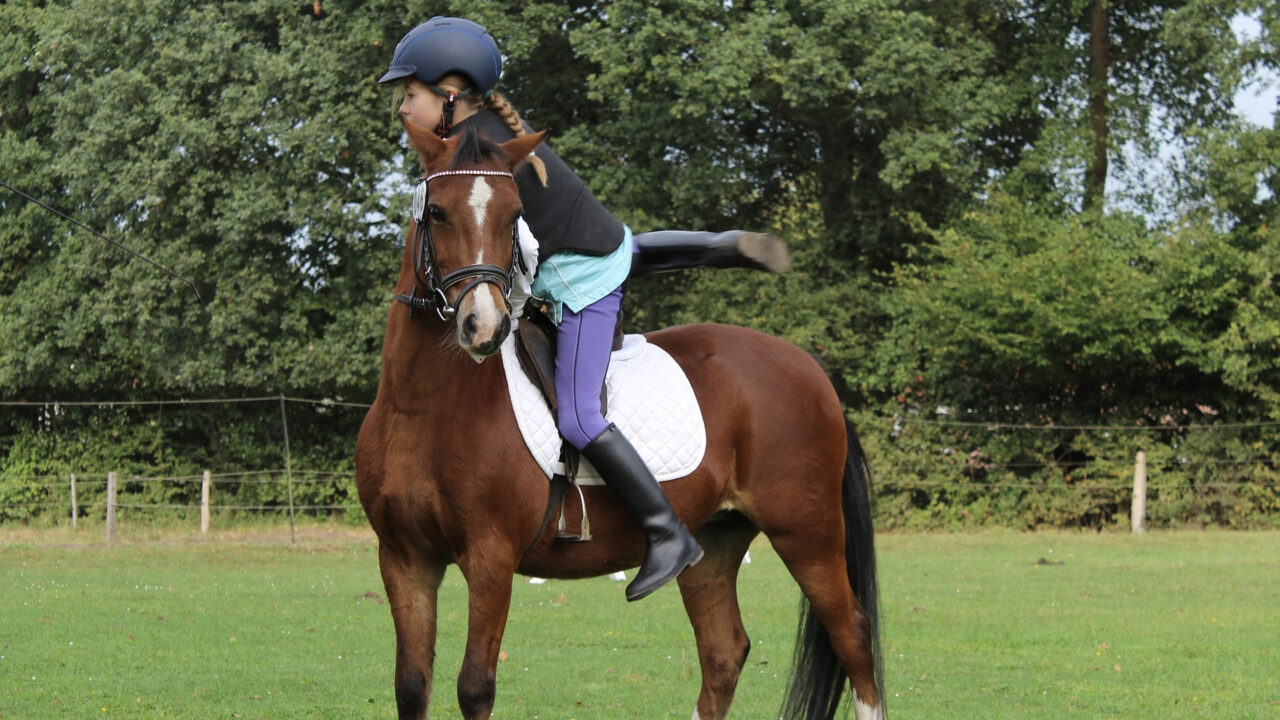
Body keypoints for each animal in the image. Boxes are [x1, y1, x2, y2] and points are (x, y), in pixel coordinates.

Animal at [355, 119, 886, 720]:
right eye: (439, 213)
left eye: (514, 216)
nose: (484, 327)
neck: (423, 406)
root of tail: (807, 365)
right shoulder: (405, 559)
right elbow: (411, 685)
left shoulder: (490, 559)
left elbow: (475, 687)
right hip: (716, 542)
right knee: (724, 651)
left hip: (807, 532)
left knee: (852, 635)